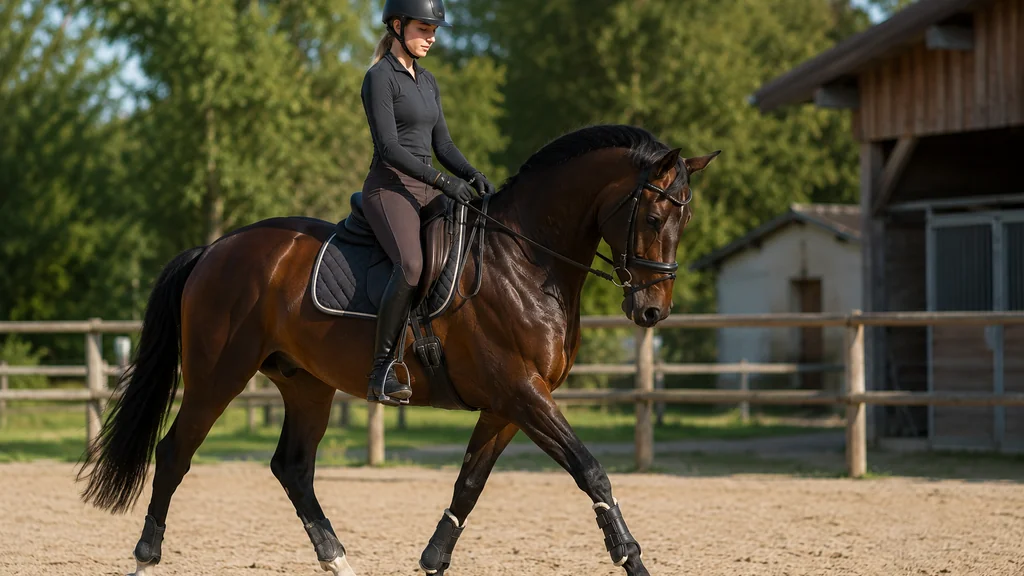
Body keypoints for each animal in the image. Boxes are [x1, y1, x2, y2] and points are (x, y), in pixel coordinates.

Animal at [76, 124, 719, 576]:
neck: (525, 260)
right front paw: (631, 556)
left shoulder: (508, 405)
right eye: (654, 215)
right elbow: (591, 471)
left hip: (306, 384)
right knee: (174, 453)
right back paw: (146, 555)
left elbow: (469, 484)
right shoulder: (523, 393)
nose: (652, 312)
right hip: (218, 376)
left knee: (292, 467)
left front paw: (433, 560)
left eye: (684, 221)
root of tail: (215, 249)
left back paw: (337, 558)